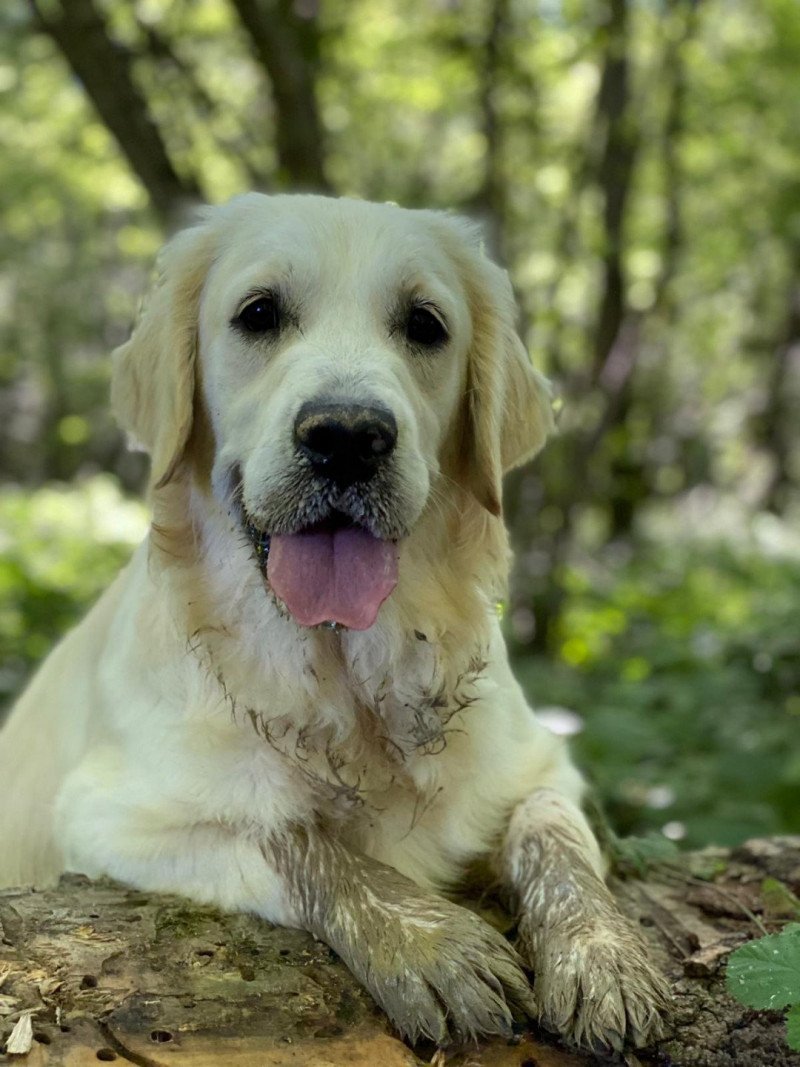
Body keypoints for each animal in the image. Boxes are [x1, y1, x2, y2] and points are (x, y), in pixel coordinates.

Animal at [1, 192, 669, 1049]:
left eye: (425, 324)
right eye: (258, 313)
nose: (348, 436)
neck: (348, 673)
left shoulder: (544, 765)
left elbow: (554, 838)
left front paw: (602, 955)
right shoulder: (110, 818)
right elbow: (293, 835)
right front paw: (427, 941)